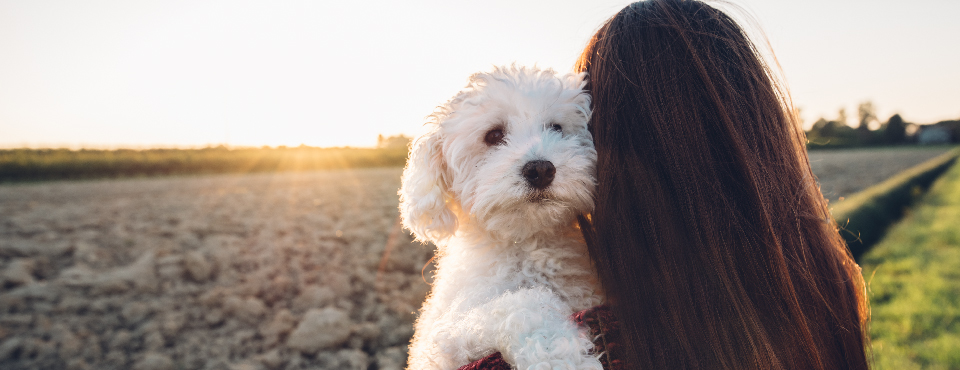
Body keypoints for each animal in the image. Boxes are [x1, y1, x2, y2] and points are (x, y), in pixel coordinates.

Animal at [402, 66, 604, 370]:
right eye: (493, 135)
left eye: (556, 128)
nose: (541, 169)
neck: (528, 246)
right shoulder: (442, 343)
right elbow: (522, 305)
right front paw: (562, 357)